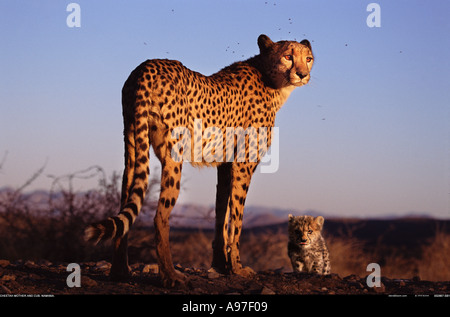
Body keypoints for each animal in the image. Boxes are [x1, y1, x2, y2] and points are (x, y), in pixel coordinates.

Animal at [86, 33, 314, 286]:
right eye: (288, 56)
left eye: (308, 58)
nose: (302, 74)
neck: (270, 78)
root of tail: (147, 66)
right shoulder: (243, 165)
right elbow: (237, 219)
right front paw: (237, 268)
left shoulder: (225, 166)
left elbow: (221, 214)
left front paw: (221, 265)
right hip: (173, 156)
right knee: (159, 216)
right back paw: (171, 276)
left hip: (133, 146)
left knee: (126, 199)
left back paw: (120, 271)